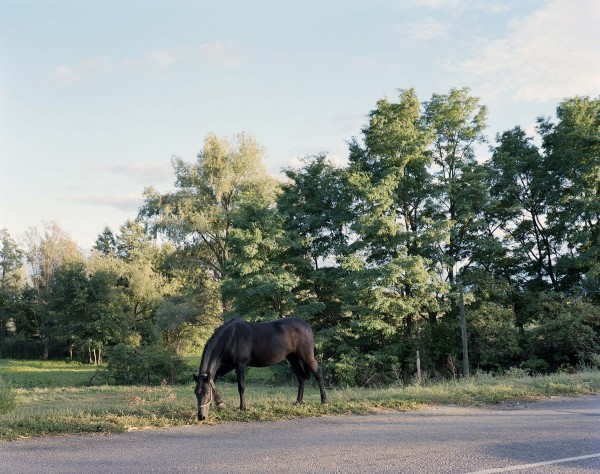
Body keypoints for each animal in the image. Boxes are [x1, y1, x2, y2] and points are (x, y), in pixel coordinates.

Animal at [193, 317, 328, 420]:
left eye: (206, 392)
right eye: (196, 393)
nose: (201, 417)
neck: (230, 338)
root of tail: (306, 325)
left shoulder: (240, 365)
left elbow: (241, 387)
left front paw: (243, 408)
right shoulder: (228, 366)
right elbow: (214, 380)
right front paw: (220, 403)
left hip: (307, 357)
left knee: (318, 374)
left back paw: (324, 401)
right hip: (292, 358)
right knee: (301, 378)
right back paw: (298, 401)